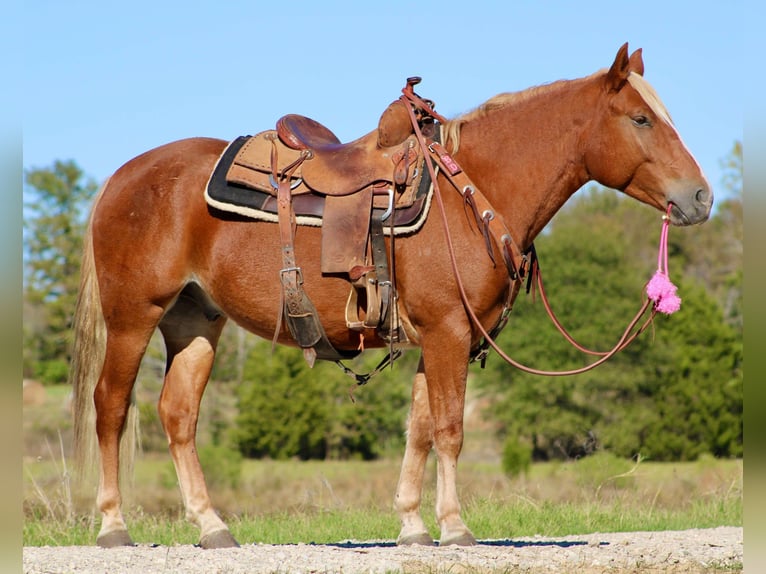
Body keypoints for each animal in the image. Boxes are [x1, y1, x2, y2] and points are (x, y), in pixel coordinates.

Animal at [70, 44, 712, 548]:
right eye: (641, 119)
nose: (701, 197)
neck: (470, 193)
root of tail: (123, 176)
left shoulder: (439, 338)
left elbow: (420, 429)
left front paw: (412, 525)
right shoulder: (449, 331)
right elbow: (450, 429)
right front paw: (454, 527)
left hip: (196, 320)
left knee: (178, 415)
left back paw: (212, 527)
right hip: (133, 317)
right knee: (111, 407)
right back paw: (113, 526)